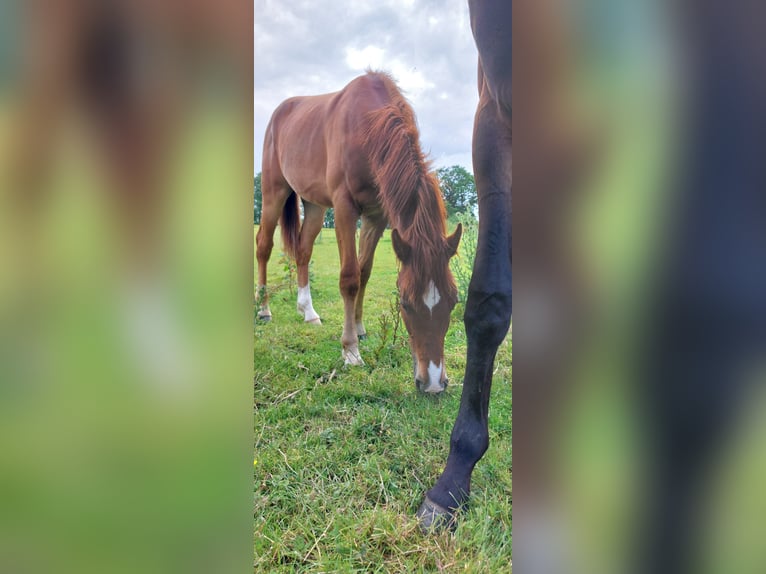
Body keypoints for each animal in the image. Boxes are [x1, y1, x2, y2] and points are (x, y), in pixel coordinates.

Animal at [258, 72, 462, 394]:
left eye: (453, 300)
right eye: (405, 303)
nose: (432, 383)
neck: (367, 125)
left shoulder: (376, 215)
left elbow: (365, 272)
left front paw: (360, 328)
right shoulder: (344, 208)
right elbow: (350, 278)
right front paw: (351, 349)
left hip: (315, 206)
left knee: (303, 251)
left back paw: (308, 311)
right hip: (273, 193)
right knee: (263, 246)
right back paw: (264, 310)